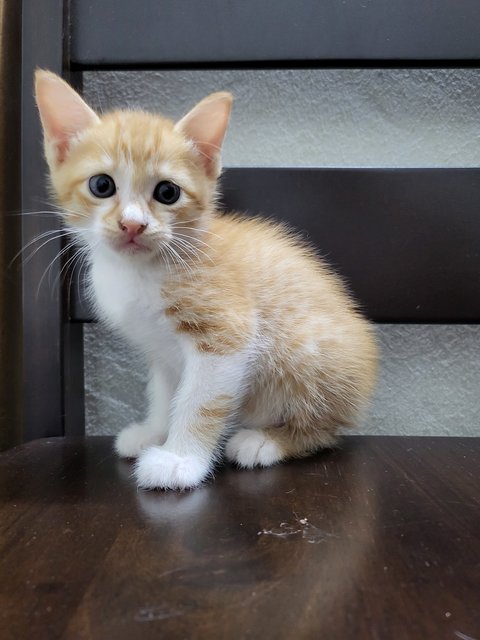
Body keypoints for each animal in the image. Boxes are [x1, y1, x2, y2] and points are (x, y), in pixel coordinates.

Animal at [35, 70, 376, 490]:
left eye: (167, 192)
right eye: (102, 185)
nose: (133, 224)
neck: (143, 269)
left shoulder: (225, 336)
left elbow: (200, 400)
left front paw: (180, 459)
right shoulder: (160, 349)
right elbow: (166, 391)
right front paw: (155, 430)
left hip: (305, 355)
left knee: (328, 430)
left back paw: (267, 441)